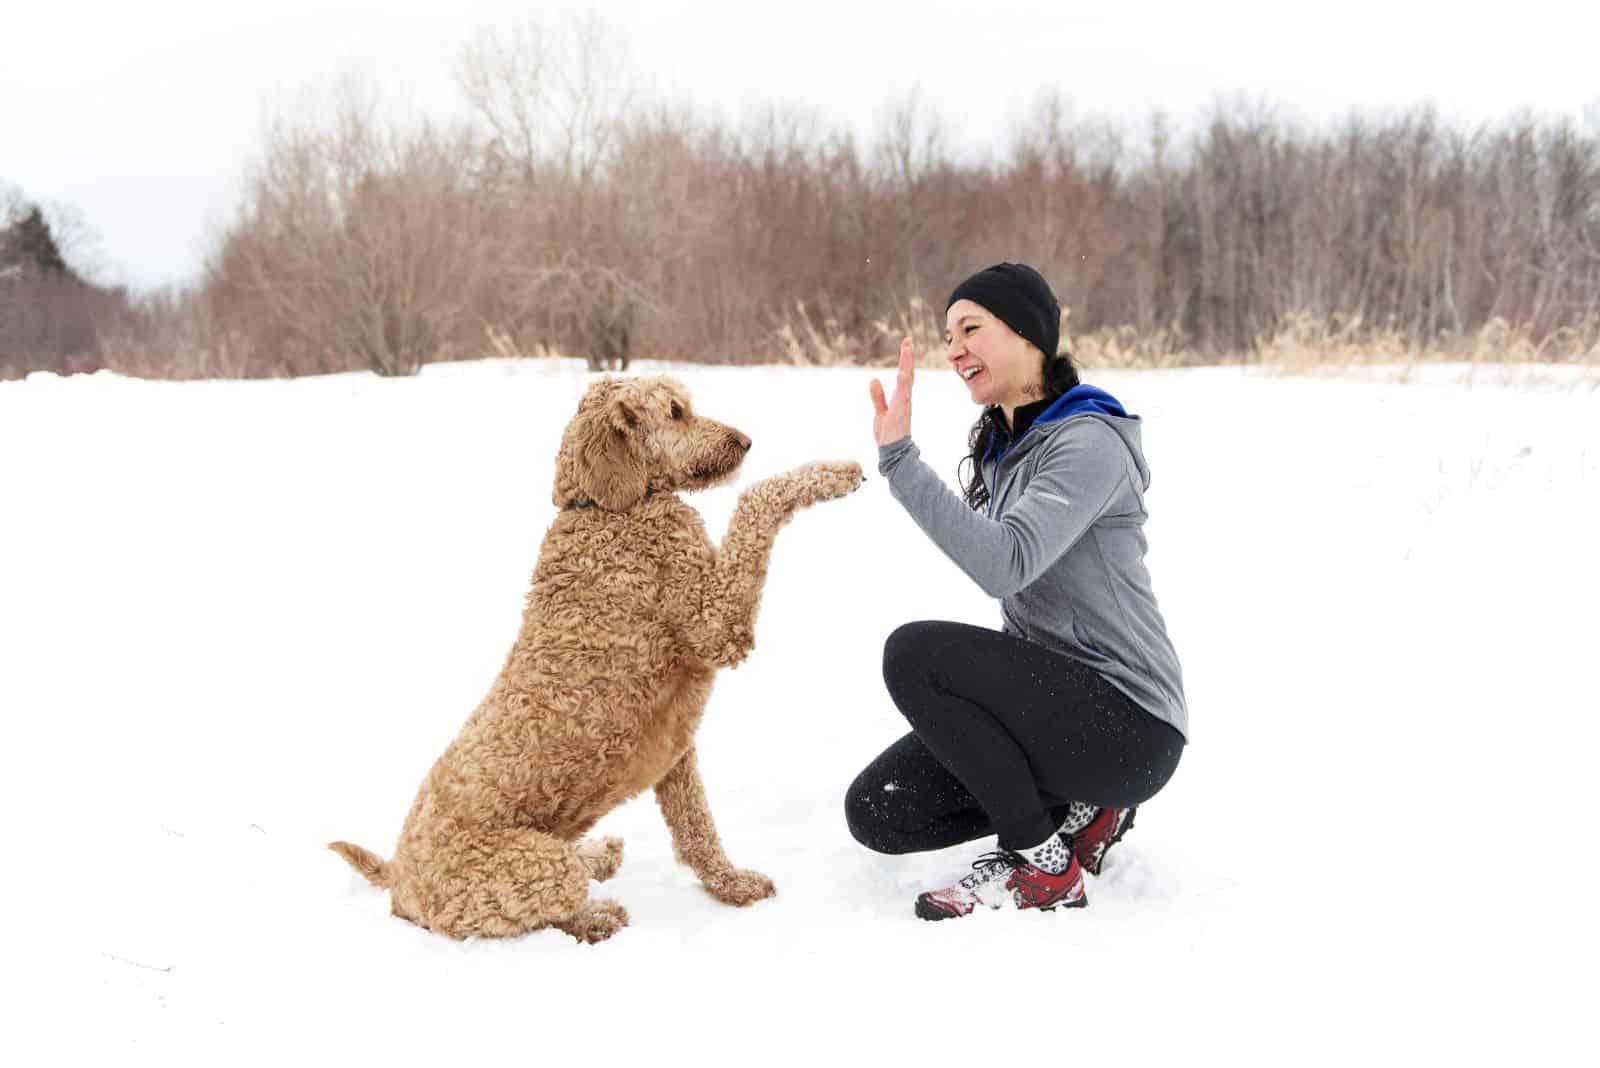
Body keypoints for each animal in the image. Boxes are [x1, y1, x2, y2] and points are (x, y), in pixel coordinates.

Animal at [328, 375, 864, 940]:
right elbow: (754, 502)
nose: (745, 441)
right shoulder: (715, 621)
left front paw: (732, 885)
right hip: (530, 866)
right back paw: (598, 913)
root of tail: (399, 881)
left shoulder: (675, 751)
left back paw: (598, 854)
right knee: (550, 909)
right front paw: (833, 473)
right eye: (675, 412)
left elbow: (697, 830)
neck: (603, 507)